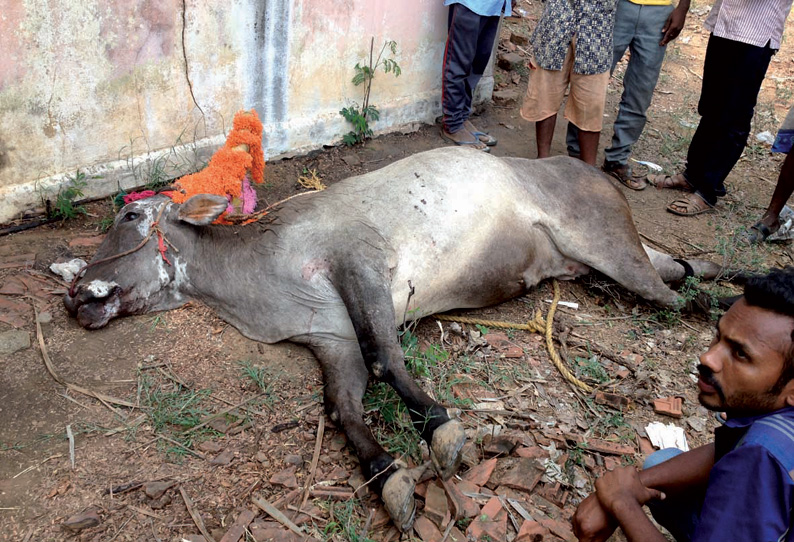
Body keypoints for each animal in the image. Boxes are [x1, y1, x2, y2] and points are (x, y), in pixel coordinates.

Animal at [62, 148, 716, 532]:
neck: (258, 272)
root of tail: (592, 170)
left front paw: (441, 428)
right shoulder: (330, 337)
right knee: (676, 268)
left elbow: (386, 361)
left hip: (605, 244)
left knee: (680, 298)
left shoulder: (362, 266)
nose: (75, 296)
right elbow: (343, 406)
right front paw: (389, 475)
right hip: (594, 260)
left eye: (129, 218)